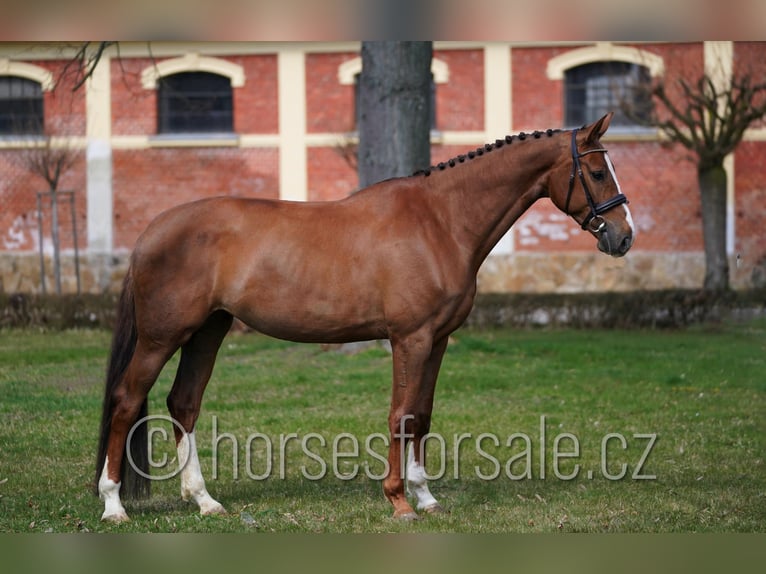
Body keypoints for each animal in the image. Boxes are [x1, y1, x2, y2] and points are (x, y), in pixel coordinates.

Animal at [95, 112, 634, 523]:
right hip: (162, 337)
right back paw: (113, 504)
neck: (439, 221)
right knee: (126, 400)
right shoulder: (410, 338)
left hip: (207, 331)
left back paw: (205, 501)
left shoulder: (437, 340)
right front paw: (399, 501)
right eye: (598, 172)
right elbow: (400, 414)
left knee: (183, 404)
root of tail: (152, 231)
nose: (623, 237)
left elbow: (422, 415)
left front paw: (426, 496)